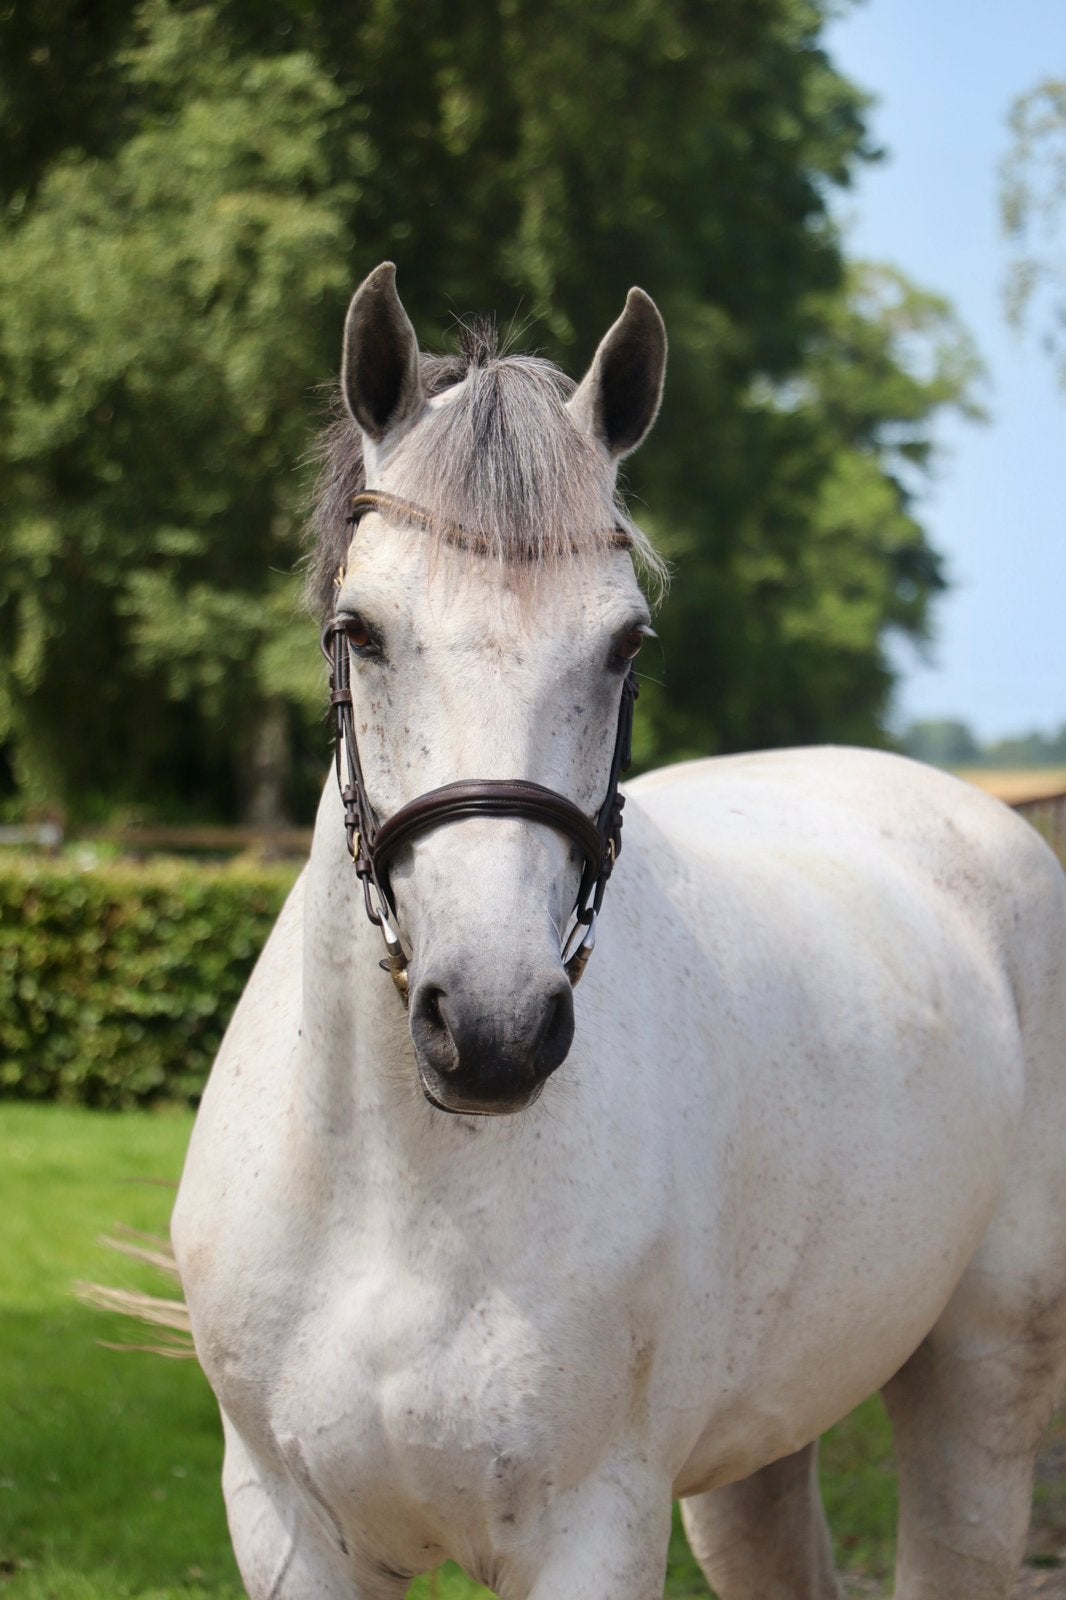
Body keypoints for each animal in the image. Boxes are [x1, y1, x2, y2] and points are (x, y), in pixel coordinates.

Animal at [172, 262, 1066, 1600]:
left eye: (623, 643)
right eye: (359, 629)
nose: (492, 1028)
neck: (403, 1199)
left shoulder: (590, 1527)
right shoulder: (284, 1525)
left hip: (980, 1373)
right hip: (759, 1452)